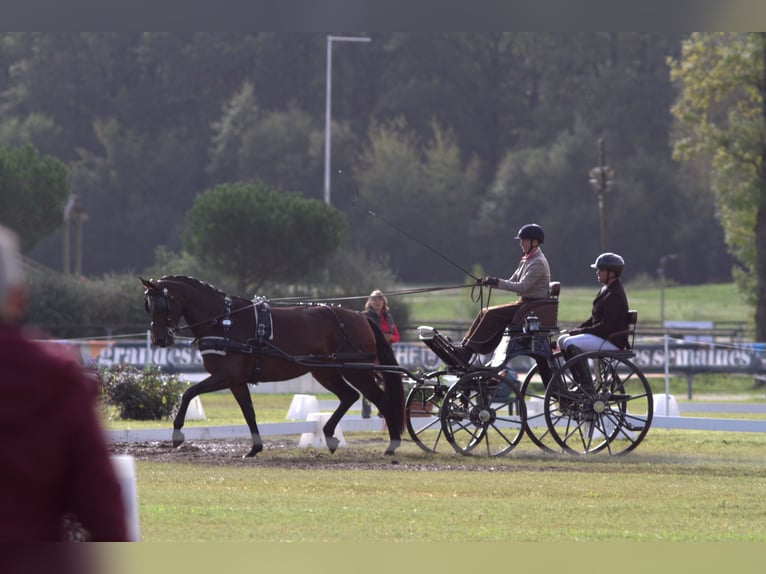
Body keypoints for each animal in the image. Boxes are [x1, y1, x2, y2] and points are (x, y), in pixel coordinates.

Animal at [143, 276, 408, 462]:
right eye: (148, 305)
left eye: (162, 305)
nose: (159, 339)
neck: (223, 321)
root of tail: (360, 316)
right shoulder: (236, 381)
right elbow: (248, 412)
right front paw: (254, 448)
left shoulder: (224, 376)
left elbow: (188, 393)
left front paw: (177, 435)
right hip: (325, 371)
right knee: (349, 396)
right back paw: (330, 435)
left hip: (357, 371)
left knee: (381, 400)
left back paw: (391, 445)